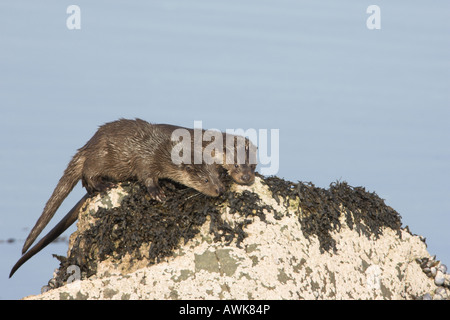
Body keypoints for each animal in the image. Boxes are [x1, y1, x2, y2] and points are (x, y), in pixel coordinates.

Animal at [20, 119, 225, 256]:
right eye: (205, 181)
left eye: (217, 177)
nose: (219, 190)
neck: (163, 152)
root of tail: (86, 147)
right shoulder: (146, 161)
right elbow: (147, 178)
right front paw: (157, 192)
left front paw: (168, 184)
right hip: (99, 156)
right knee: (88, 176)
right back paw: (103, 184)